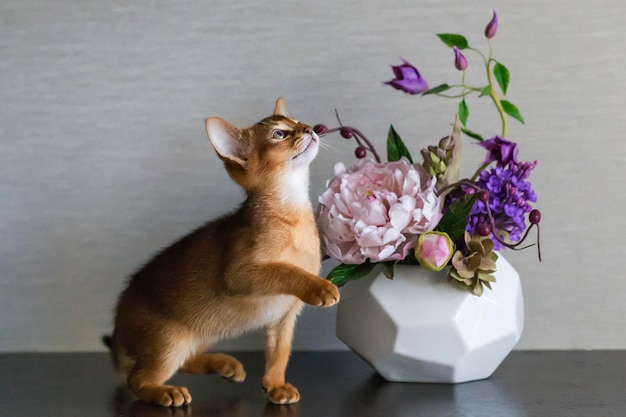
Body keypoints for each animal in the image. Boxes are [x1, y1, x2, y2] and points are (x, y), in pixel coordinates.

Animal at [108, 97, 342, 406]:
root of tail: (118, 325)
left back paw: (223, 364)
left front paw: (275, 386)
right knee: (137, 379)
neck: (293, 216)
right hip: (169, 340)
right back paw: (166, 392)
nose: (310, 128)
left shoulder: (284, 317)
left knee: (183, 360)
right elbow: (286, 269)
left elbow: (279, 354)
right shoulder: (237, 275)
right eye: (279, 134)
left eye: (297, 121)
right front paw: (320, 287)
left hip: (200, 332)